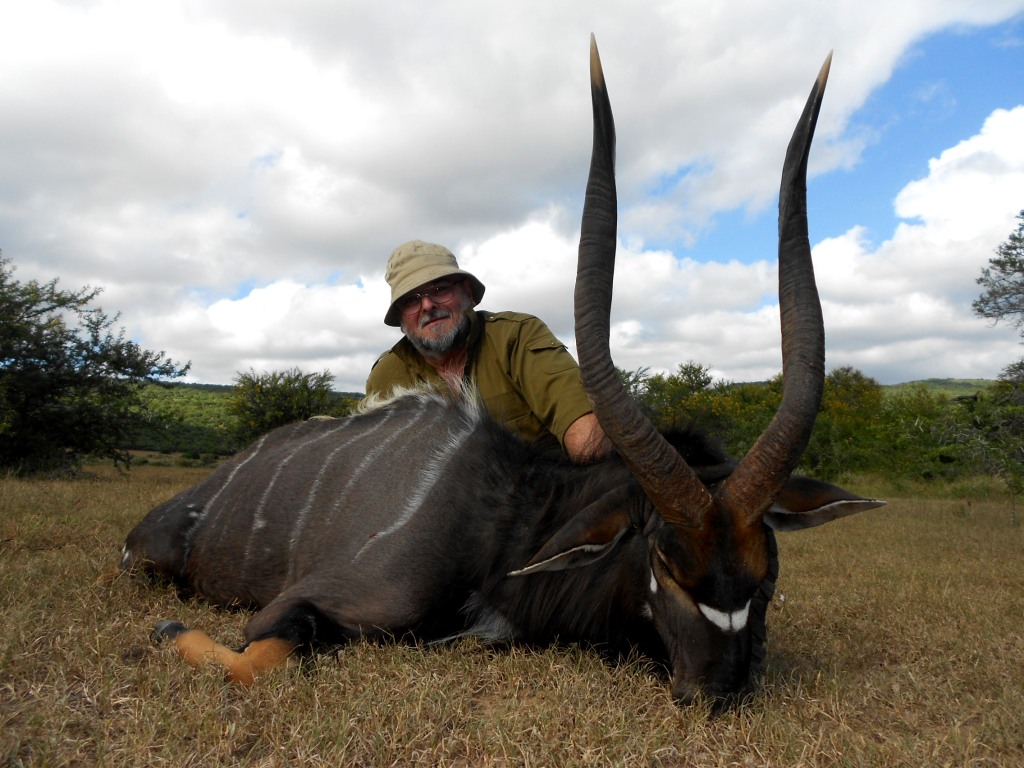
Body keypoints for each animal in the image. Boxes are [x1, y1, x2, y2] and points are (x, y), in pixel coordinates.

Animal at [121, 37, 884, 706]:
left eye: (766, 574)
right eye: (664, 563)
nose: (720, 689)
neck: (507, 522)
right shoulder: (300, 605)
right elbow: (256, 660)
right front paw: (164, 633)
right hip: (148, 560)